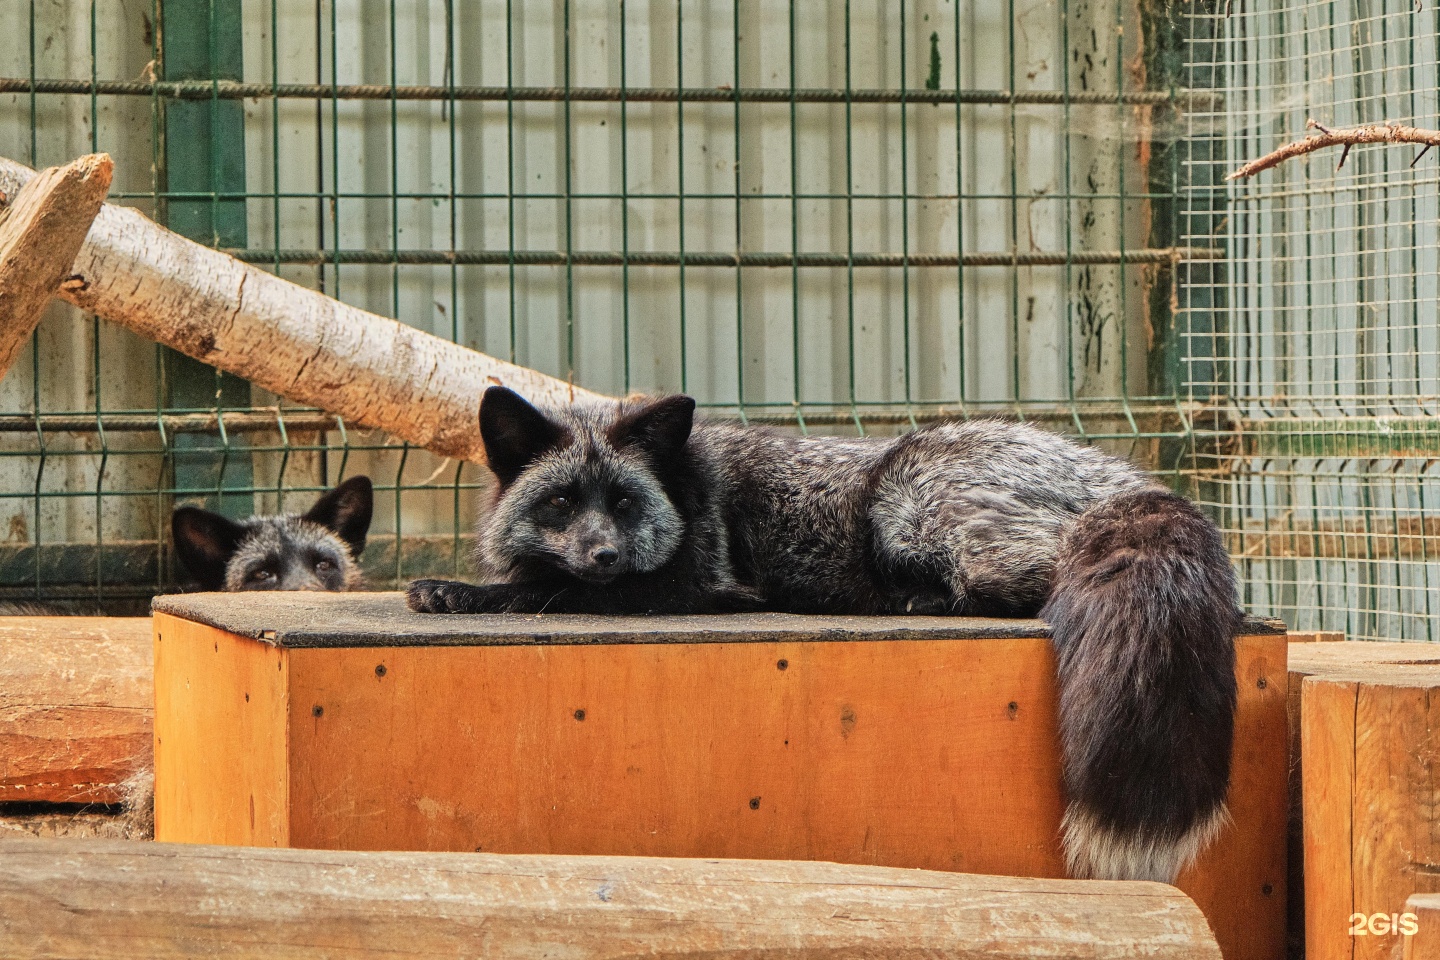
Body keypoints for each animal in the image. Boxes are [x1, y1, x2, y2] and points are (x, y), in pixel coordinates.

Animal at [406, 385, 1238, 880]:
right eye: (559, 501)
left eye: (622, 501)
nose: (605, 553)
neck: (687, 488)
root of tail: (1130, 483)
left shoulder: (697, 585)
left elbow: (550, 589)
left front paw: (462, 591)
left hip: (910, 503)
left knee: (1035, 578)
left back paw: (917, 602)